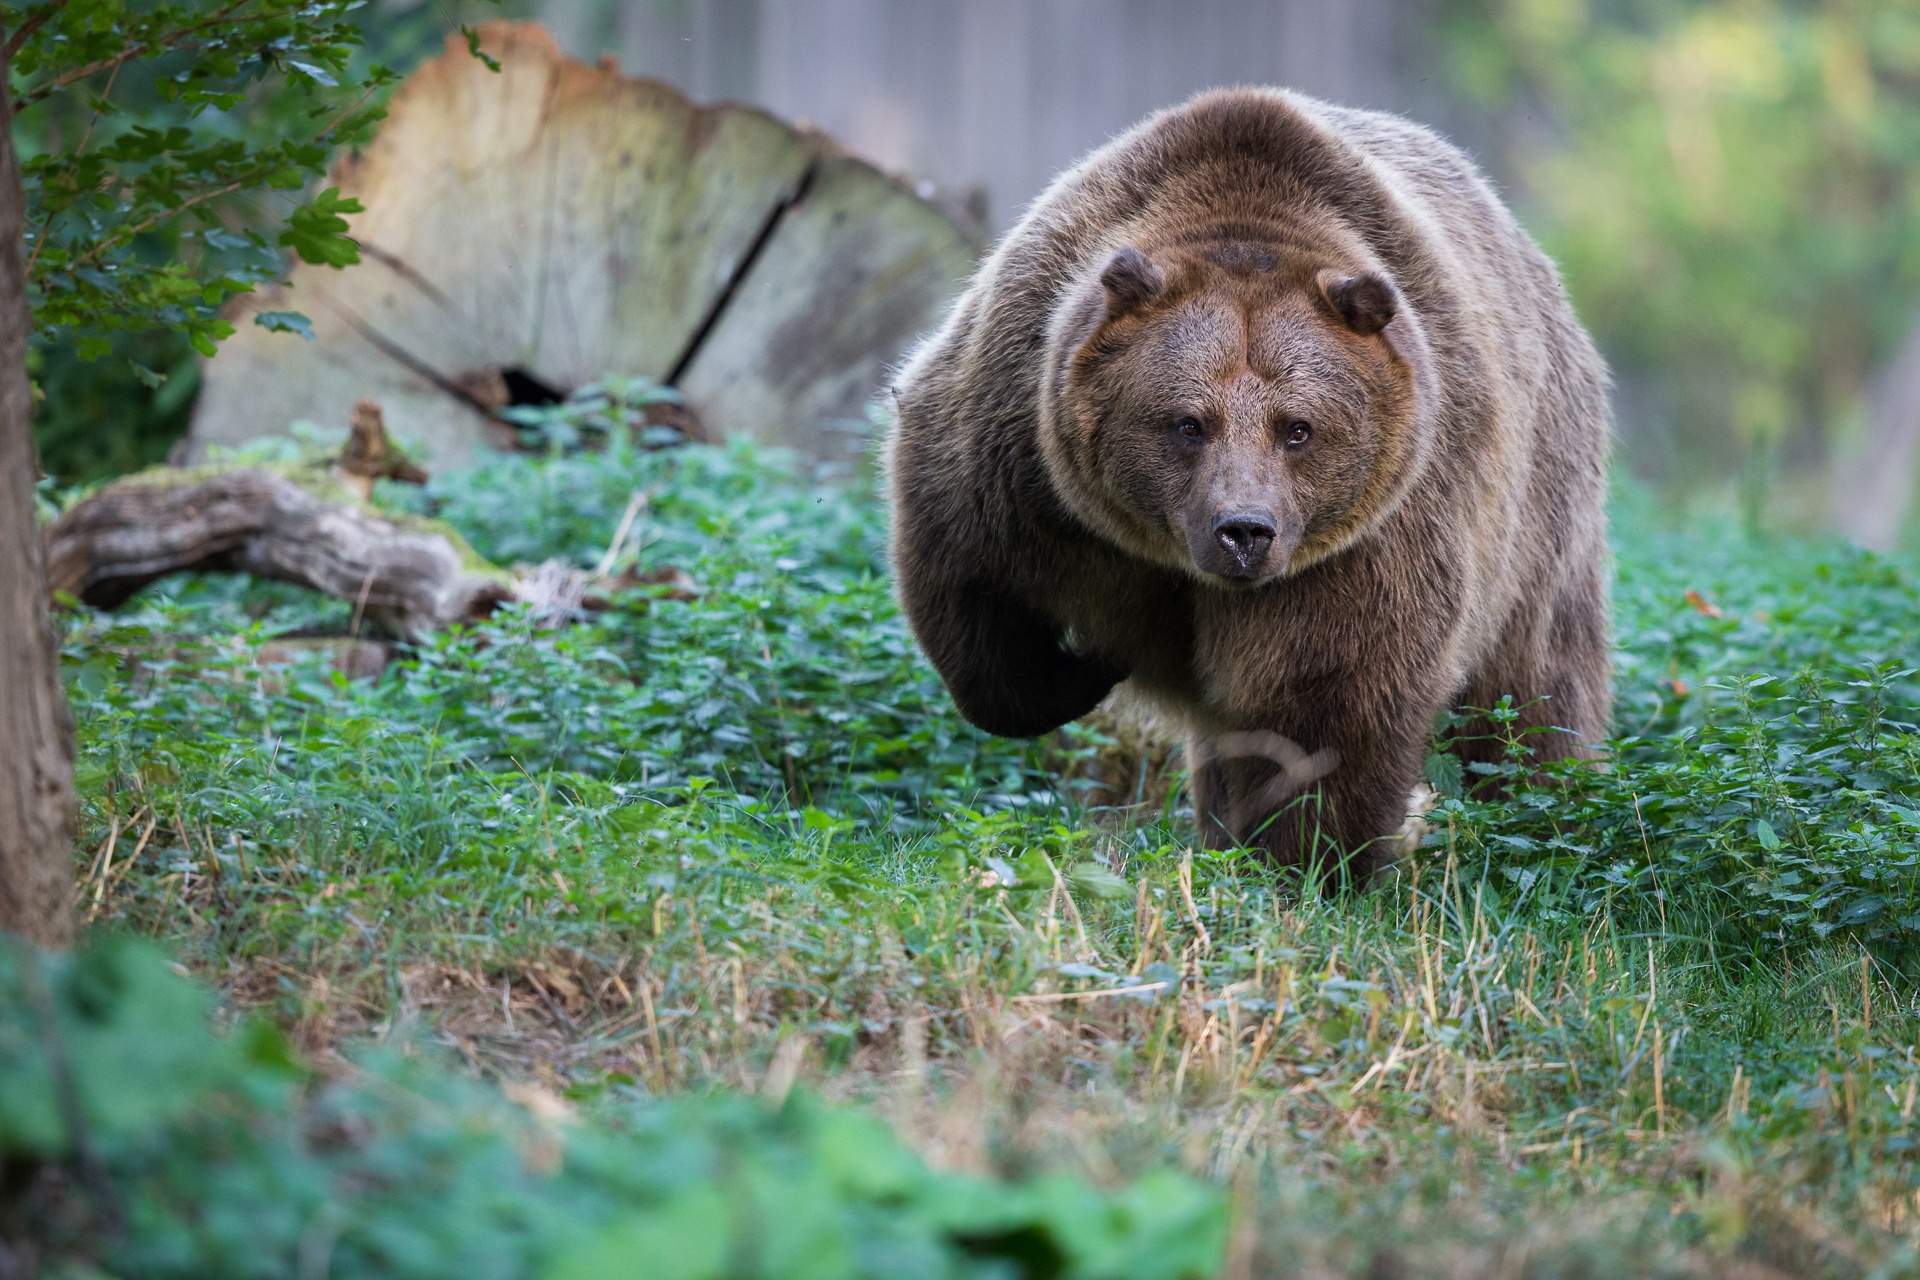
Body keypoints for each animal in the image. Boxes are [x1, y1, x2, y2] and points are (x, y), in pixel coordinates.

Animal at [883, 90, 1605, 882]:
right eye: (1187, 423)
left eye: (1299, 428)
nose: (1243, 531)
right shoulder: (1019, 454)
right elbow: (975, 597)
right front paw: (1089, 665)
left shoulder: (1374, 529)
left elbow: (1324, 697)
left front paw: (1311, 862)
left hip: (1540, 504)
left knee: (1533, 690)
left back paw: (1549, 813)